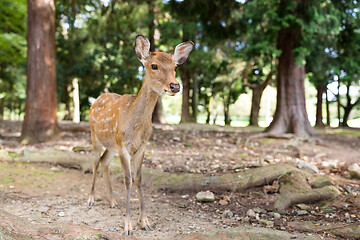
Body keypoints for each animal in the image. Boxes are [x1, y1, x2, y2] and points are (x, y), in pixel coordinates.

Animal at [87, 34, 194, 235]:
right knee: (95, 162)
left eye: (175, 67)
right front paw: (127, 226)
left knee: (105, 162)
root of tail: (94, 100)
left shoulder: (142, 146)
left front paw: (145, 221)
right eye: (154, 65)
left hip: (111, 145)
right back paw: (90, 199)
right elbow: (127, 180)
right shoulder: (123, 145)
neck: (135, 128)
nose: (175, 86)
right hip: (94, 136)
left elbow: (139, 179)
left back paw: (112, 201)